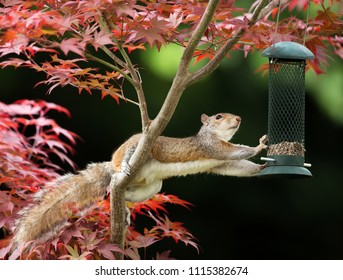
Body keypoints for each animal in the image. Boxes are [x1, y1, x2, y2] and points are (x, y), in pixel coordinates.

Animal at [12, 112, 268, 246]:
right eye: (218, 116)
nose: (238, 118)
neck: (212, 135)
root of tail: (112, 167)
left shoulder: (220, 162)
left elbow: (237, 166)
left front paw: (262, 167)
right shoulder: (212, 148)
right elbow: (236, 152)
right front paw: (259, 146)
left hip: (151, 186)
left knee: (124, 195)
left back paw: (123, 208)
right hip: (137, 146)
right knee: (124, 161)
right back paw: (124, 166)